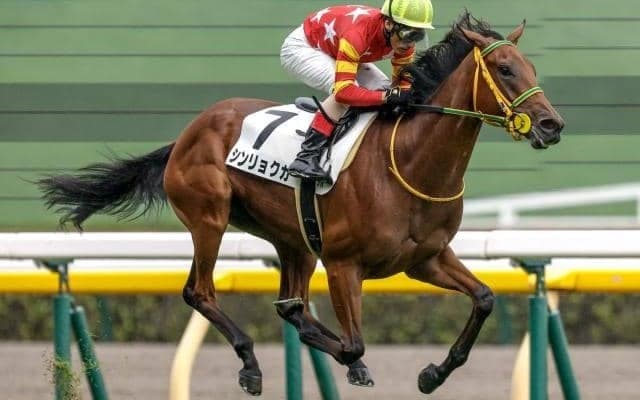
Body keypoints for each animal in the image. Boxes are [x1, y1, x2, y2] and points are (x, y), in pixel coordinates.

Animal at [38, 13, 563, 396]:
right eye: (505, 69)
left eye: (533, 69)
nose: (551, 125)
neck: (412, 162)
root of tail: (188, 132)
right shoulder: (344, 263)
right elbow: (352, 344)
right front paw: (352, 362)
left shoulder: (425, 259)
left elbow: (484, 299)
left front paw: (433, 373)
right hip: (211, 218)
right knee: (200, 292)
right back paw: (250, 363)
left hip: (294, 240)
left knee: (287, 302)